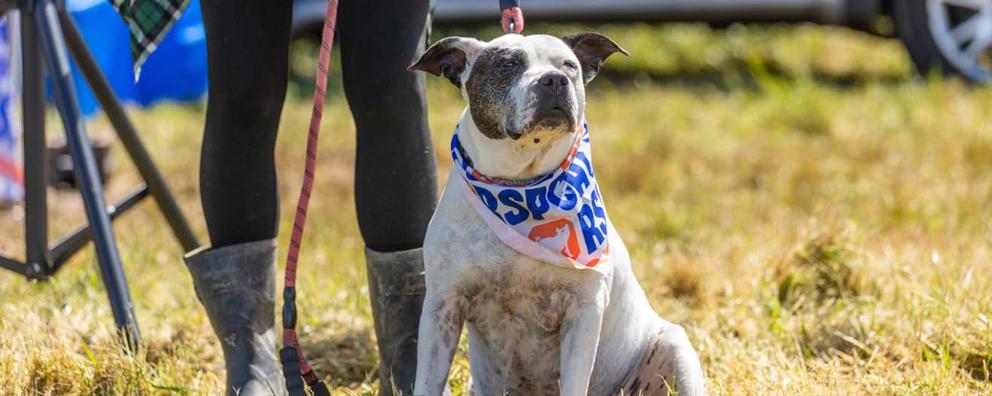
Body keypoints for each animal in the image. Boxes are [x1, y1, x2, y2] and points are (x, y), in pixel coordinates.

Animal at [408, 32, 704, 394]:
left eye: (569, 66)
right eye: (508, 64)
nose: (554, 80)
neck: (520, 188)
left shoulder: (583, 310)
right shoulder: (443, 305)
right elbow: (428, 380)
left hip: (674, 346)